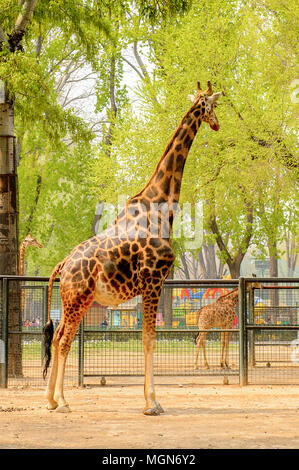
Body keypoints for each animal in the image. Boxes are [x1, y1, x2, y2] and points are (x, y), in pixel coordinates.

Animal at [42, 81, 223, 414]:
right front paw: (153, 403)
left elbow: (148, 338)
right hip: (77, 299)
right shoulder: (154, 281)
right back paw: (62, 401)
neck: (160, 205)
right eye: (212, 105)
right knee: (62, 340)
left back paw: (50, 399)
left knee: (59, 336)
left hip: (75, 300)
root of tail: (63, 264)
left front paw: (151, 400)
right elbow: (149, 338)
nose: (216, 124)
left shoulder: (154, 284)